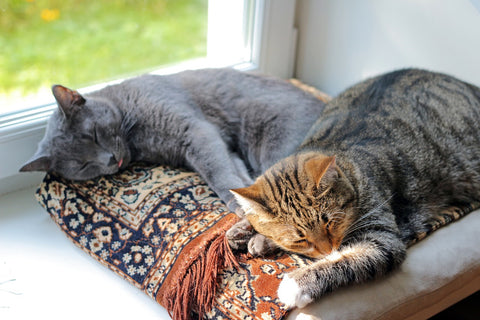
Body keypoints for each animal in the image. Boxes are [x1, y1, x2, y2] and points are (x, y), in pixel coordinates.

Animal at [18, 69, 326, 216]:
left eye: (93, 134)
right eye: (82, 166)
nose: (109, 160)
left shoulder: (196, 130)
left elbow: (218, 173)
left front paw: (240, 205)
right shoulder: (215, 145)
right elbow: (232, 170)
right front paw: (246, 190)